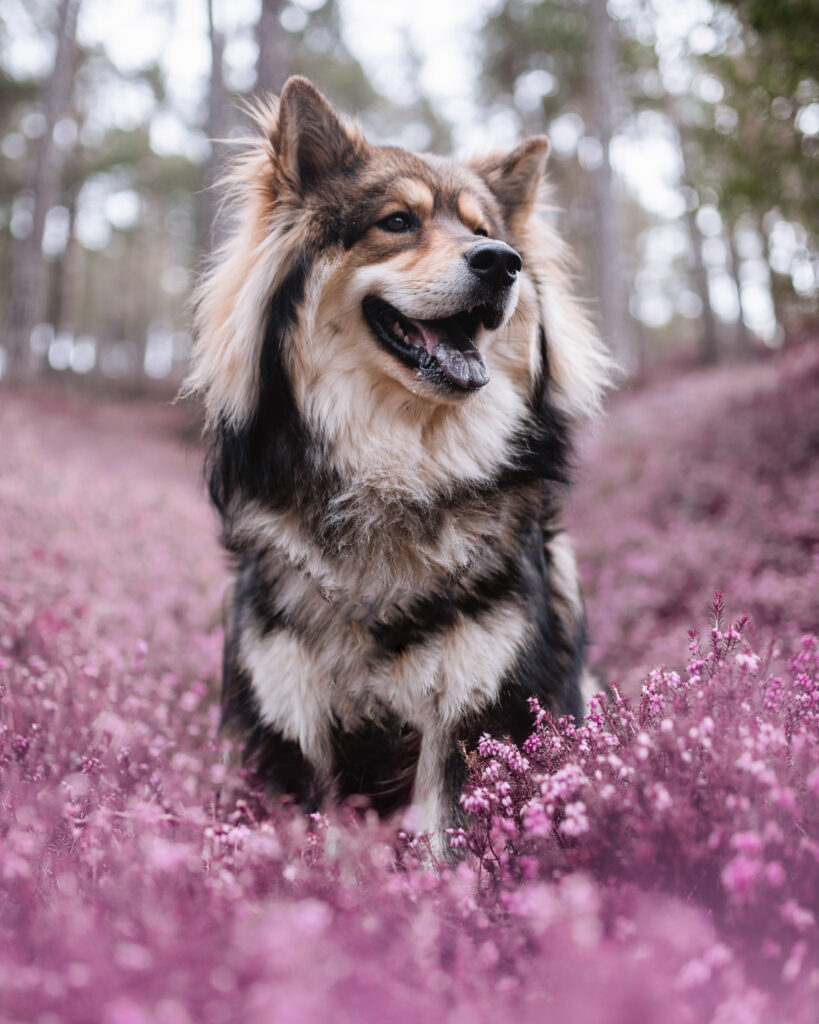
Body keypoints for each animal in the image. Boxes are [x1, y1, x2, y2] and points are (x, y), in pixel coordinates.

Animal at [185, 77, 606, 847]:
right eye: (398, 221)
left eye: (483, 229)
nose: (501, 260)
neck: (400, 468)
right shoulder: (295, 719)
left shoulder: (473, 710)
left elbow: (448, 845)